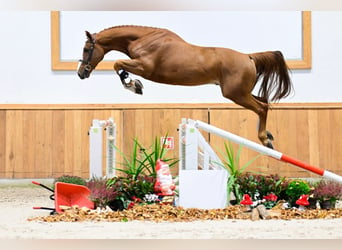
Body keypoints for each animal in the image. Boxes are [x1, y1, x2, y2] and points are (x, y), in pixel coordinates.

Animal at [78, 24, 294, 148]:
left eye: (87, 49)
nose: (81, 73)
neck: (144, 39)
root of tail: (248, 57)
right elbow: (119, 65)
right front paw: (135, 84)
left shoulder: (145, 67)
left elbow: (118, 65)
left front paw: (134, 85)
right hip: (241, 92)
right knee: (264, 102)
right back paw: (268, 135)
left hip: (235, 94)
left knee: (262, 107)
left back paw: (264, 139)